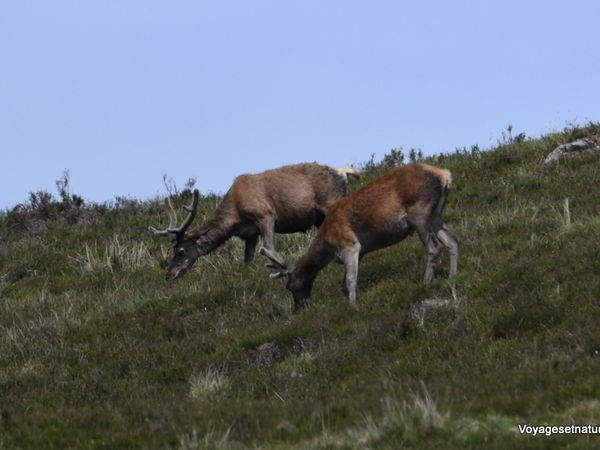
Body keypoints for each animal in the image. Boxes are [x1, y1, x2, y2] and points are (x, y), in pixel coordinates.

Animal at [149, 162, 360, 282]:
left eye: (181, 251)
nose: (169, 275)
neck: (235, 214)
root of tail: (343, 172)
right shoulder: (249, 234)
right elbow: (247, 261)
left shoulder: (265, 215)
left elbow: (268, 247)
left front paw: (281, 271)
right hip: (319, 217)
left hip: (329, 202)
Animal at [262, 163, 460, 312]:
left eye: (290, 286)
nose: (298, 309)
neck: (327, 244)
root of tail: (444, 175)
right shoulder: (361, 251)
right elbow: (345, 283)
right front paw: (345, 304)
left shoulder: (349, 245)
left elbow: (350, 280)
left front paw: (353, 306)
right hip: (435, 214)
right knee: (453, 241)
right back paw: (453, 277)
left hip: (419, 211)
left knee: (434, 246)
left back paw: (425, 283)